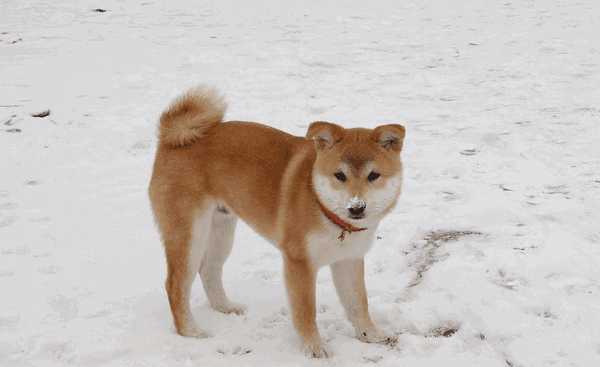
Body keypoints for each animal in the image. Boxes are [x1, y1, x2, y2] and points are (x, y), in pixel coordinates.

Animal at [148, 87, 406, 360]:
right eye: (339, 175)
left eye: (374, 175)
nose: (356, 207)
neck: (327, 212)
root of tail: (172, 138)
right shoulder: (299, 262)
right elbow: (306, 311)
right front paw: (314, 346)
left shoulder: (349, 259)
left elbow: (358, 302)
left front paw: (371, 334)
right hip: (189, 234)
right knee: (175, 284)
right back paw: (190, 331)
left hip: (221, 229)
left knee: (209, 269)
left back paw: (225, 307)